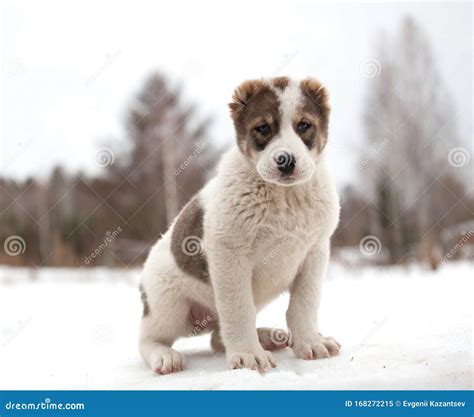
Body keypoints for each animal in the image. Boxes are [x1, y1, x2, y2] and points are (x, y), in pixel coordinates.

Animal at [138, 76, 340, 372]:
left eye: (304, 125)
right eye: (263, 128)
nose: (286, 161)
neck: (285, 196)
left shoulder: (315, 252)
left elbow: (304, 305)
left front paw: (310, 341)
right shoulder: (230, 257)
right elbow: (239, 309)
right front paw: (248, 354)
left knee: (218, 337)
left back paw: (266, 336)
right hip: (168, 304)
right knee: (148, 339)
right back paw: (165, 356)